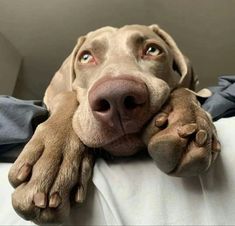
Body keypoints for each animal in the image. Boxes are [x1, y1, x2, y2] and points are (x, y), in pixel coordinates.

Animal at [7, 25, 220, 224]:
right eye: (86, 57)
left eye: (152, 50)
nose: (116, 97)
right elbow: (68, 96)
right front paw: (54, 158)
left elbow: (183, 89)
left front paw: (185, 119)